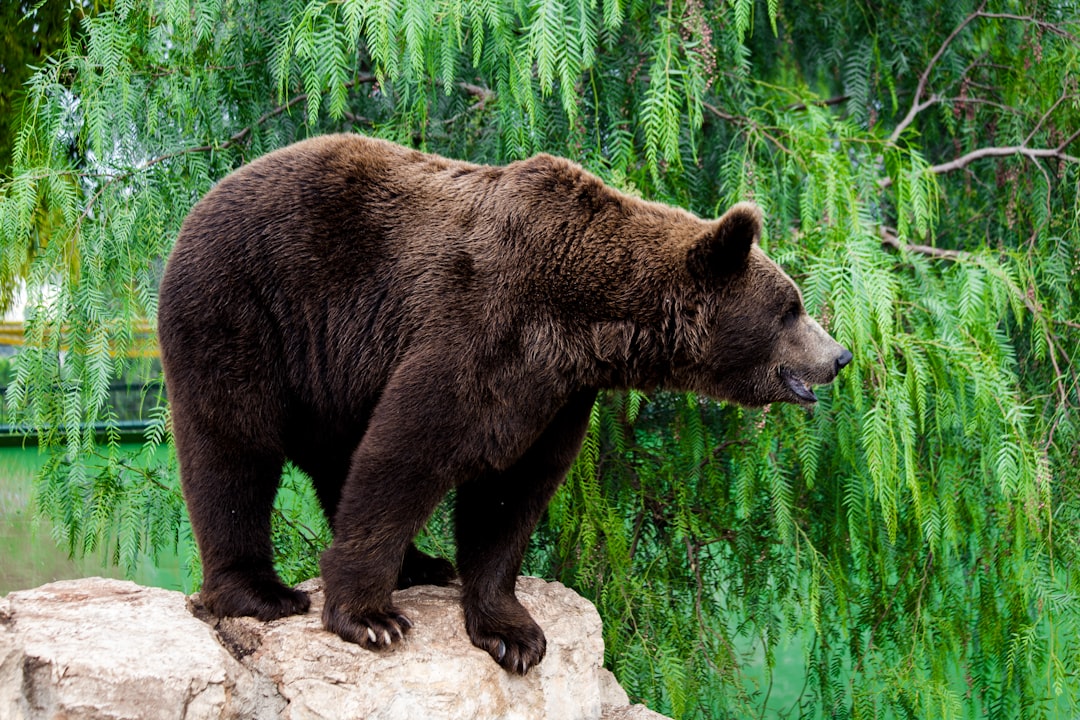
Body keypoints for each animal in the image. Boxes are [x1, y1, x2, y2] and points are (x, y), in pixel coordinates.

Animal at [158, 134, 851, 675]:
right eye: (791, 308)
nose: (840, 355)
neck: (588, 319)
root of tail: (203, 200)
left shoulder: (557, 394)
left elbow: (509, 495)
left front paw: (512, 633)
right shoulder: (481, 332)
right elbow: (406, 454)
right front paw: (372, 618)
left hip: (332, 369)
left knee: (333, 458)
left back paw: (423, 564)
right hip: (246, 311)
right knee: (233, 450)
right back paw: (261, 593)